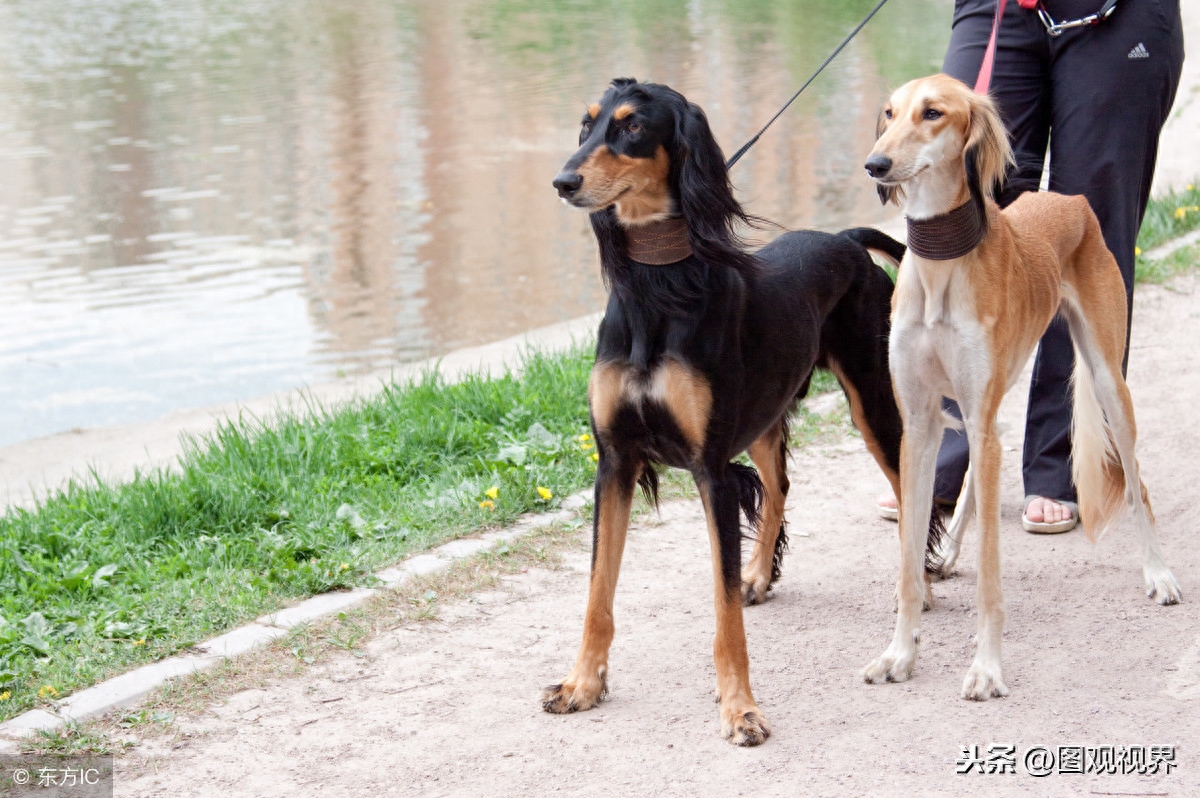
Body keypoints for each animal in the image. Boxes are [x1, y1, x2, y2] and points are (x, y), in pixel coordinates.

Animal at [544, 78, 936, 744]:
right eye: (586, 124)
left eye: (632, 127)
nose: (563, 182)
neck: (659, 288)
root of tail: (844, 239)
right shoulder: (615, 463)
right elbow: (598, 592)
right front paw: (582, 685)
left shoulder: (710, 471)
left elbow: (722, 610)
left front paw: (740, 708)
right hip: (764, 414)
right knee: (779, 488)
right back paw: (758, 574)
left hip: (874, 403)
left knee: (907, 489)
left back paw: (918, 589)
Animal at [864, 74, 1180, 696]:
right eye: (888, 113)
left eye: (932, 113)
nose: (875, 164)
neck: (941, 263)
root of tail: (1069, 199)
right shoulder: (919, 423)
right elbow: (908, 559)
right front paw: (899, 653)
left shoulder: (971, 414)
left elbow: (992, 574)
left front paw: (987, 667)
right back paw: (949, 552)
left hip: (1108, 379)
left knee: (1138, 484)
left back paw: (1158, 573)